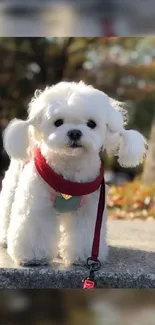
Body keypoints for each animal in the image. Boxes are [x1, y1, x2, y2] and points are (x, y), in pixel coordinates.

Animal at [0, 81, 147, 266]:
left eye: (91, 123)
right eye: (58, 122)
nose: (75, 132)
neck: (70, 164)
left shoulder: (90, 208)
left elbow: (85, 230)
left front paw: (83, 256)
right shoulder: (37, 201)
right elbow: (35, 225)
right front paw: (34, 256)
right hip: (13, 184)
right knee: (7, 210)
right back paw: (5, 238)